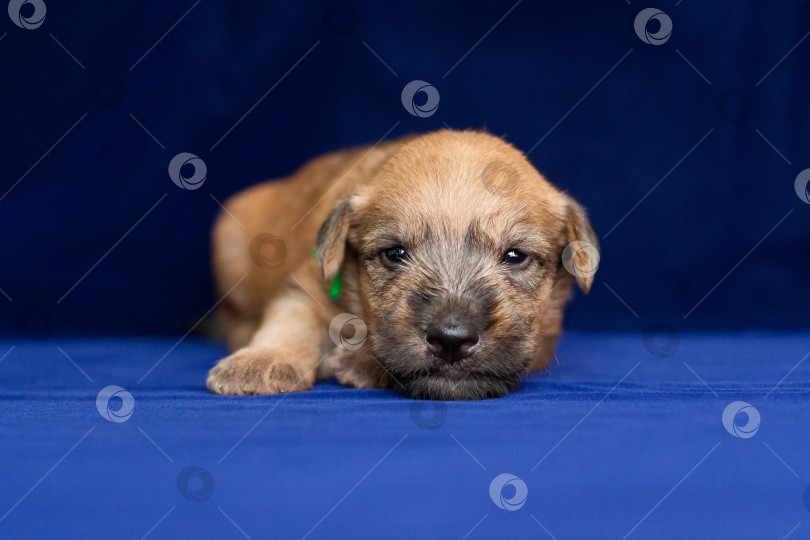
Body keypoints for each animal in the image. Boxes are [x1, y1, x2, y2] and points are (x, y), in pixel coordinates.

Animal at [207, 130, 600, 400]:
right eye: (394, 253)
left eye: (515, 256)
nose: (451, 339)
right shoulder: (307, 284)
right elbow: (291, 321)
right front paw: (260, 361)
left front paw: (361, 361)